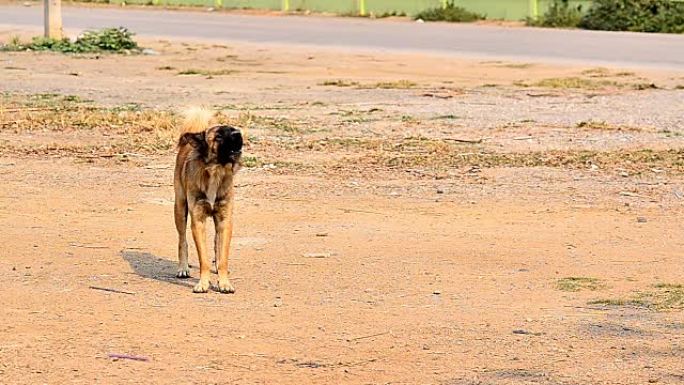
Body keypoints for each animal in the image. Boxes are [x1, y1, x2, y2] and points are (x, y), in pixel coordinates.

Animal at [174, 106, 243, 292]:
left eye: (231, 128)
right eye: (218, 136)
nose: (239, 133)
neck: (216, 170)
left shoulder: (225, 220)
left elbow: (223, 257)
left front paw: (224, 282)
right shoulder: (198, 222)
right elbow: (203, 259)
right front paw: (203, 283)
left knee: (216, 245)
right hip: (180, 209)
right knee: (182, 240)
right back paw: (183, 268)